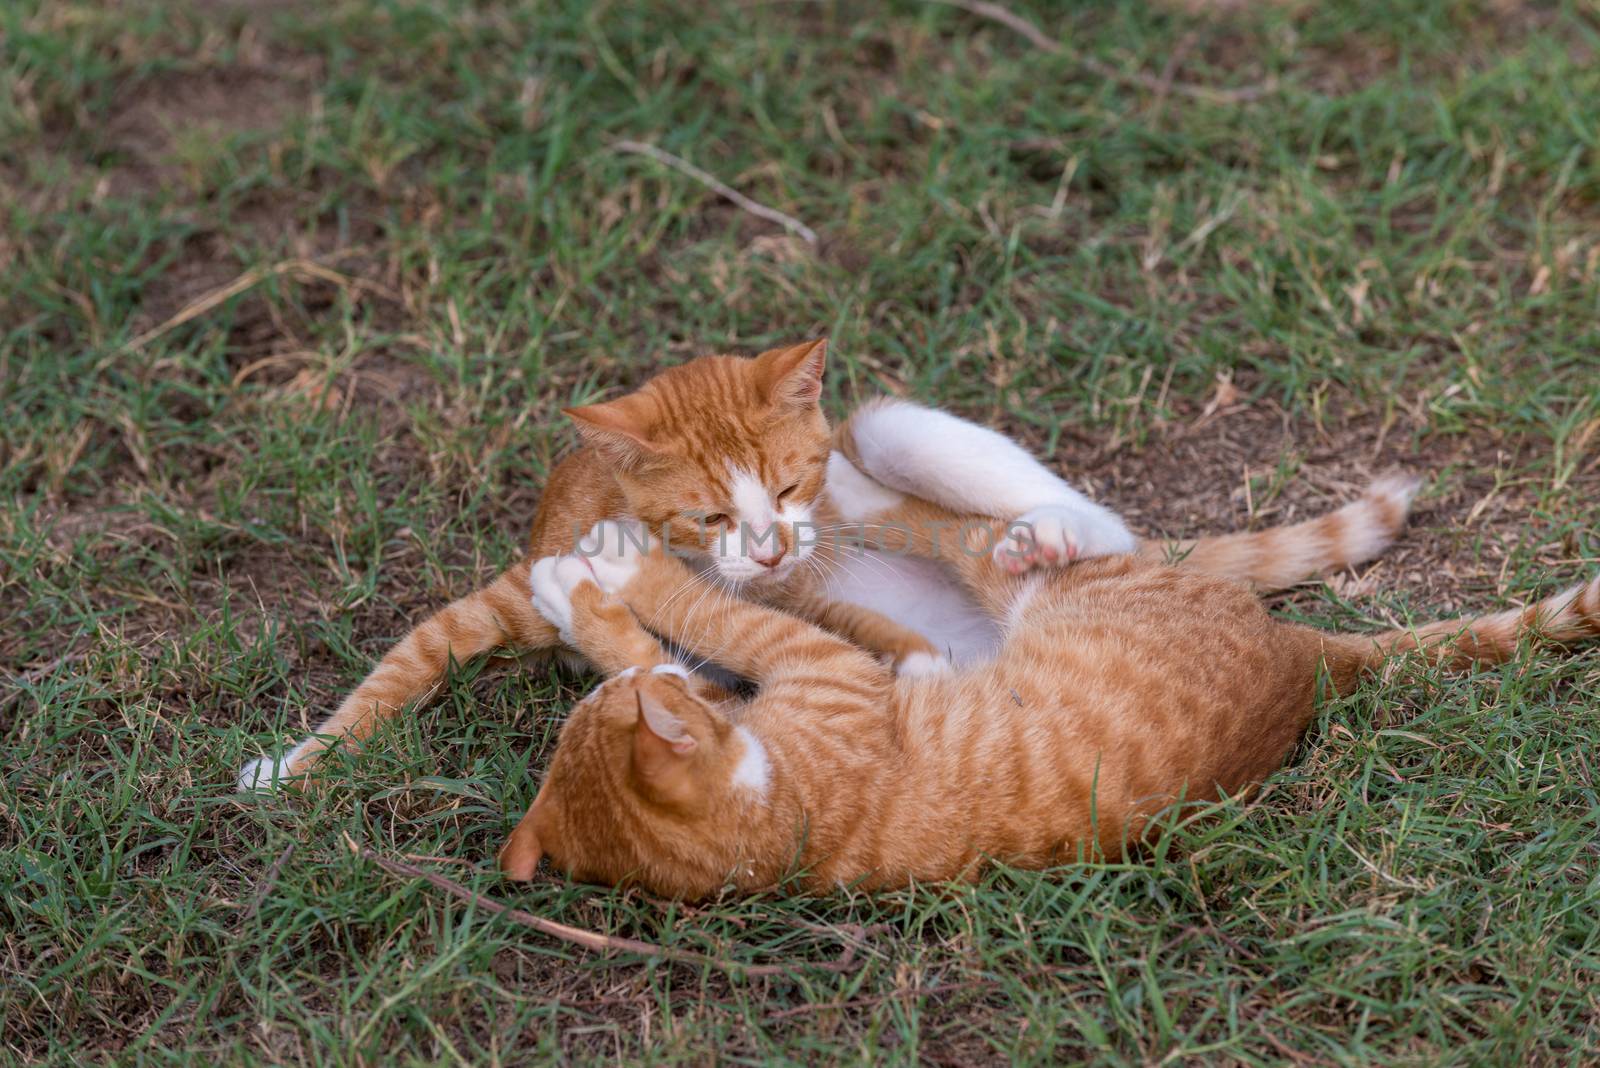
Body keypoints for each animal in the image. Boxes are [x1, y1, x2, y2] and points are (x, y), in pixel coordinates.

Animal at [236, 337, 1414, 789]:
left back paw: (1048, 532)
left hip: (892, 442)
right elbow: (403, 666)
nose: (770, 545)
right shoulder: (519, 601)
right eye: (712, 512)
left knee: (1102, 521)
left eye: (792, 487)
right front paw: (294, 763)